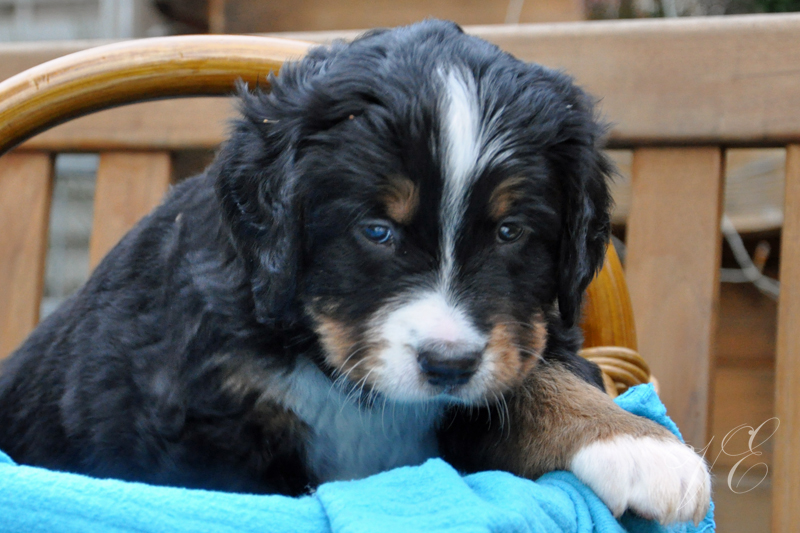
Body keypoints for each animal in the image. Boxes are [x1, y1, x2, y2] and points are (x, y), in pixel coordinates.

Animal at [0, 20, 710, 524]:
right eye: (377, 231)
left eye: (511, 232)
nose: (448, 365)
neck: (333, 372)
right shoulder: (198, 420)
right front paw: (642, 447)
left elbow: (538, 380)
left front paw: (638, 445)